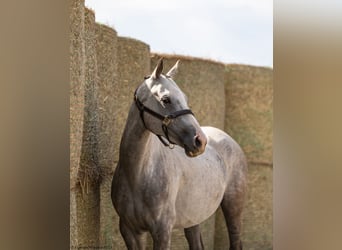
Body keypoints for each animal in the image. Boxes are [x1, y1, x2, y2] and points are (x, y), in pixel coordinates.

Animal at [112, 59, 248, 250]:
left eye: (185, 98)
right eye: (165, 99)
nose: (200, 141)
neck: (138, 174)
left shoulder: (162, 231)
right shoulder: (129, 231)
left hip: (233, 207)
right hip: (194, 218)